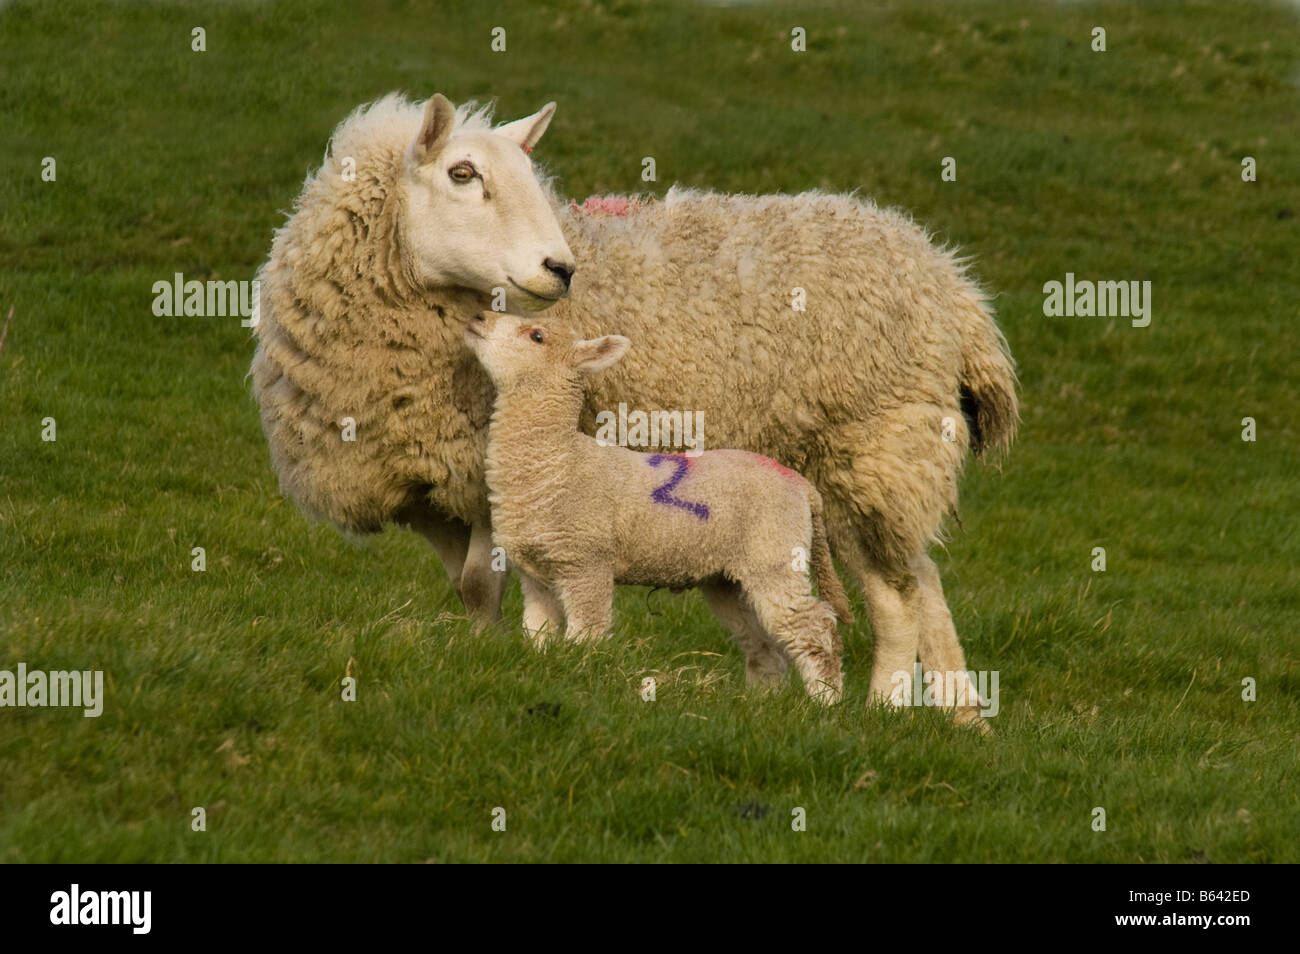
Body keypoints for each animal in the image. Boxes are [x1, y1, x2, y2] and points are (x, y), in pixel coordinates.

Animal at [464, 310, 853, 703]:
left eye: (537, 336)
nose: (480, 315)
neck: (557, 460)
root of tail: (803, 487)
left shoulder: (587, 561)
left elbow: (587, 631)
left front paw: (579, 673)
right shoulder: (537, 574)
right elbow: (538, 633)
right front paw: (541, 666)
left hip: (774, 551)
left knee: (814, 626)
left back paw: (825, 701)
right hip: (728, 577)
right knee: (763, 642)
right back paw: (761, 701)